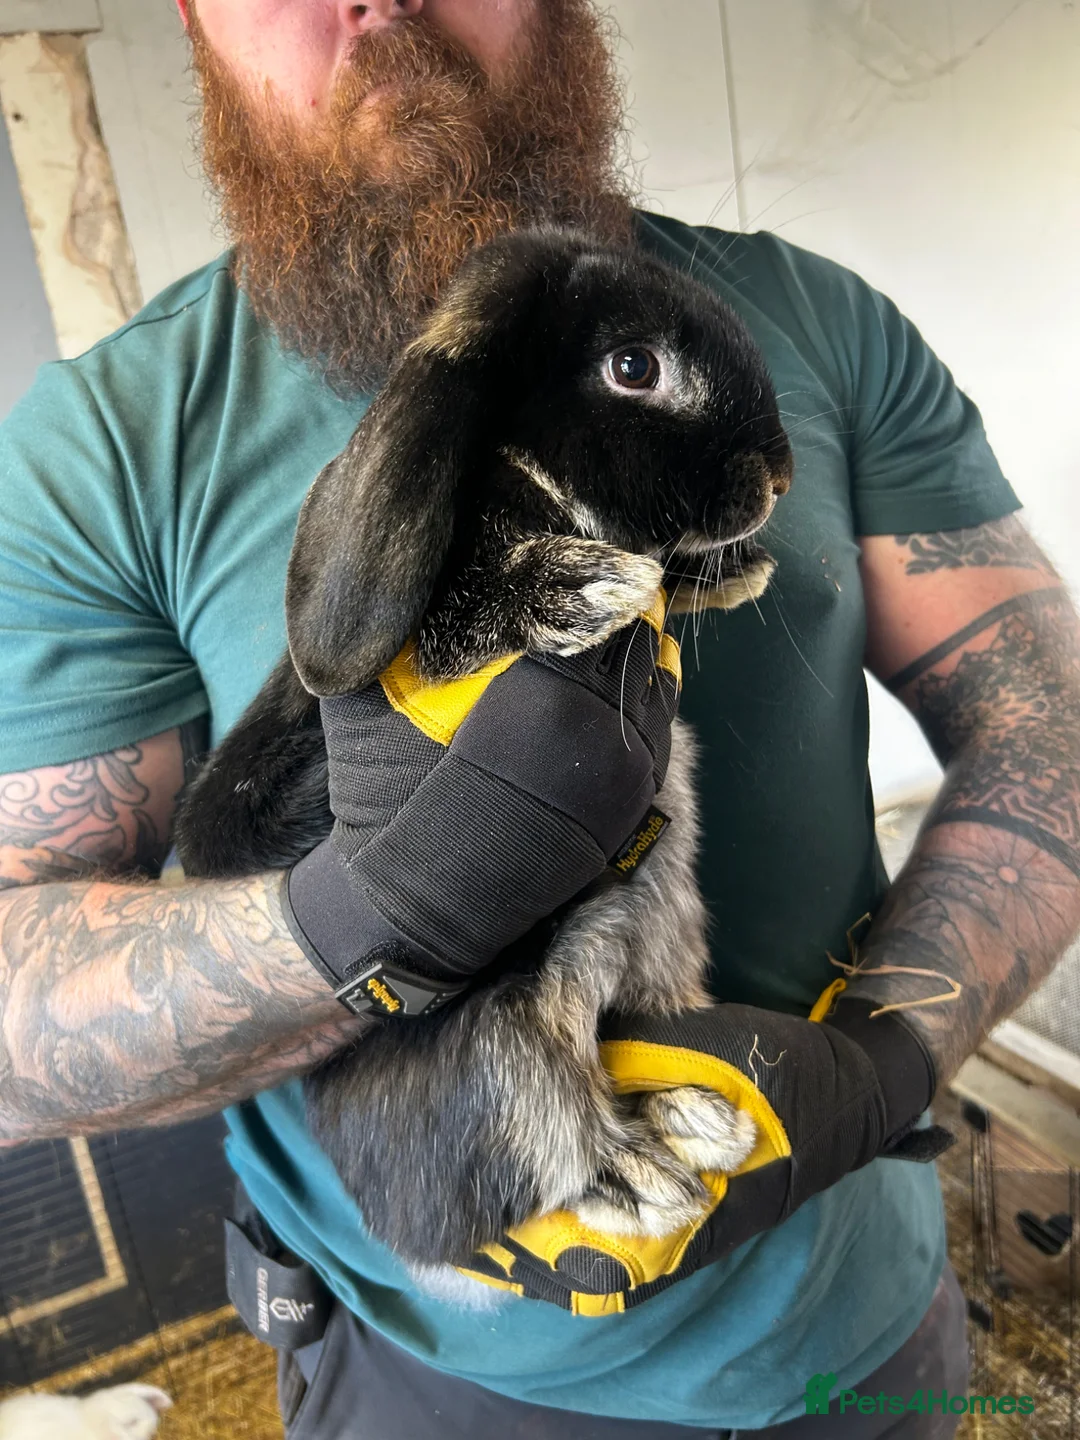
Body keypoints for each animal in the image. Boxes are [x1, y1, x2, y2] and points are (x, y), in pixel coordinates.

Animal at [176, 228, 793, 1298]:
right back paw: (650, 1172)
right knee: (544, 1161)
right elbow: (462, 613)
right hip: (510, 1053)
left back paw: (691, 1118)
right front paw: (579, 586)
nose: (779, 476)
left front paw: (709, 574)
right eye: (634, 366)